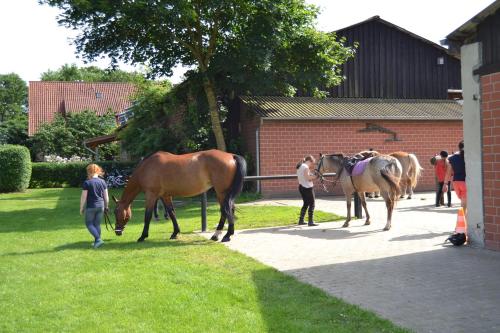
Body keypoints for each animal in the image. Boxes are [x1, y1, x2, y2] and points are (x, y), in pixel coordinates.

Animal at [112, 150, 247, 241]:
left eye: (116, 212)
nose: (117, 232)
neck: (146, 168)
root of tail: (231, 156)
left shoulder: (151, 195)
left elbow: (148, 216)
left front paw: (143, 236)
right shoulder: (165, 196)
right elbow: (172, 213)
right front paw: (175, 233)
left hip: (222, 192)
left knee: (226, 211)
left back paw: (226, 235)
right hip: (223, 194)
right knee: (227, 211)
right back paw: (218, 235)